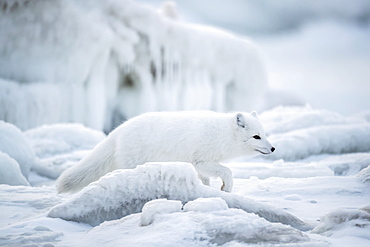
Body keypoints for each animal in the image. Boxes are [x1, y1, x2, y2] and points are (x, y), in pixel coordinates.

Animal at [56, 111, 274, 194]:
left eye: (264, 134)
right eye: (256, 137)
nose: (273, 148)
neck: (223, 134)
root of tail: (119, 129)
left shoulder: (201, 165)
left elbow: (205, 180)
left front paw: (209, 191)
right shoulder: (201, 160)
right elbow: (227, 171)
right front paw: (226, 188)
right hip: (132, 163)